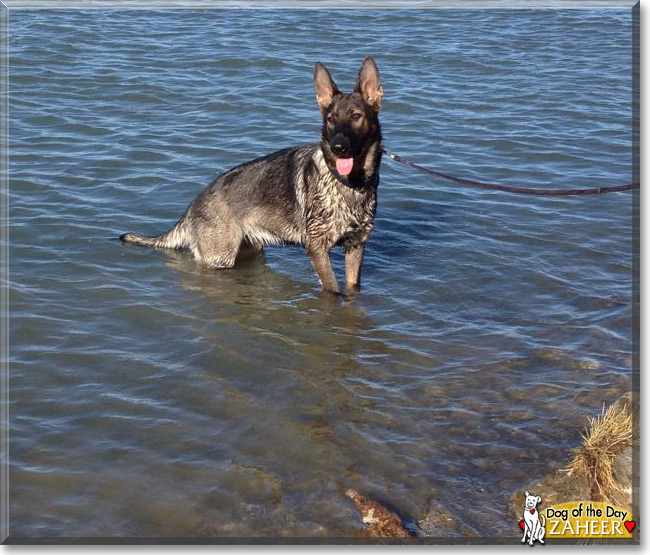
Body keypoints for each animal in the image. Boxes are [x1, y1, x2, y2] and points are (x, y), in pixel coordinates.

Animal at [120, 56, 380, 296]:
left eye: (356, 116)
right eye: (330, 119)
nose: (338, 147)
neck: (351, 185)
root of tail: (193, 205)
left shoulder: (356, 247)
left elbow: (352, 286)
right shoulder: (318, 249)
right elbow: (334, 290)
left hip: (250, 251)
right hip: (220, 260)